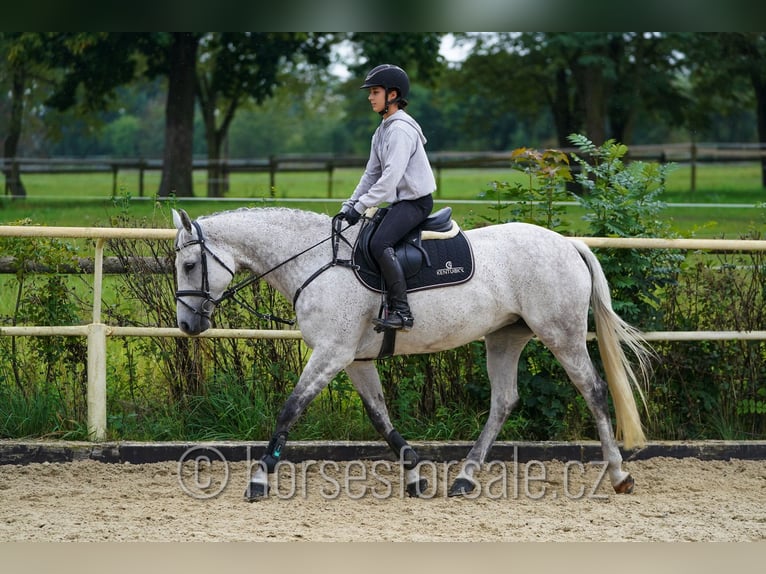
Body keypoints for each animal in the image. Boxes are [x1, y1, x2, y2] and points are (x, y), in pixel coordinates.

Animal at [171, 206, 653, 501]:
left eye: (190, 265)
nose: (188, 325)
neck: (316, 262)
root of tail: (567, 243)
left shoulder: (331, 354)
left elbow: (290, 410)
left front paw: (258, 480)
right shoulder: (356, 360)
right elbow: (379, 417)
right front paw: (415, 474)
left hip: (561, 333)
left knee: (593, 390)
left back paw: (619, 475)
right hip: (504, 338)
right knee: (504, 401)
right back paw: (464, 478)